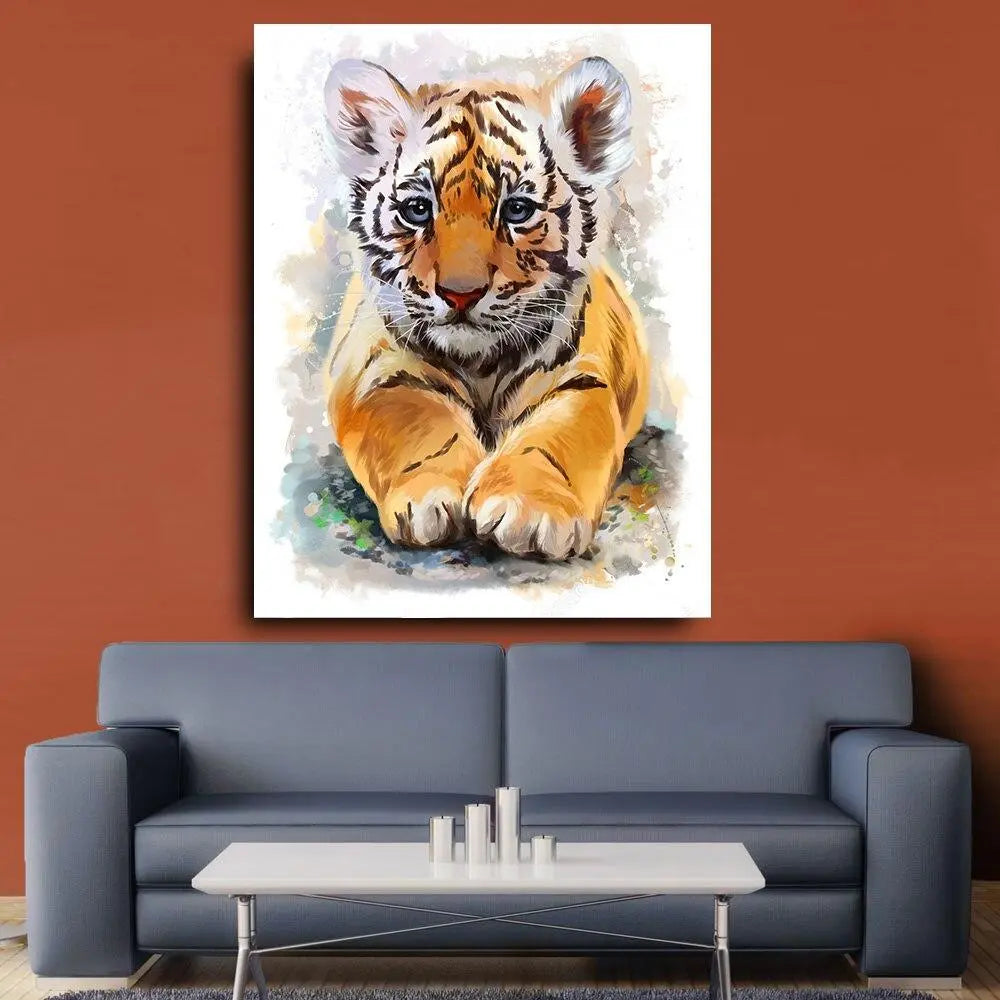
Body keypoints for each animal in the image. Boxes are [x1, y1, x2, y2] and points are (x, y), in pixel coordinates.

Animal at [323, 56, 649, 560]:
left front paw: (530, 510)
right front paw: (434, 494)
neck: (481, 363)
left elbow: (555, 441)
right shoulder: (379, 370)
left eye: (516, 210)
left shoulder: (579, 378)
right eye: (417, 209)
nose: (461, 293)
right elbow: (421, 424)